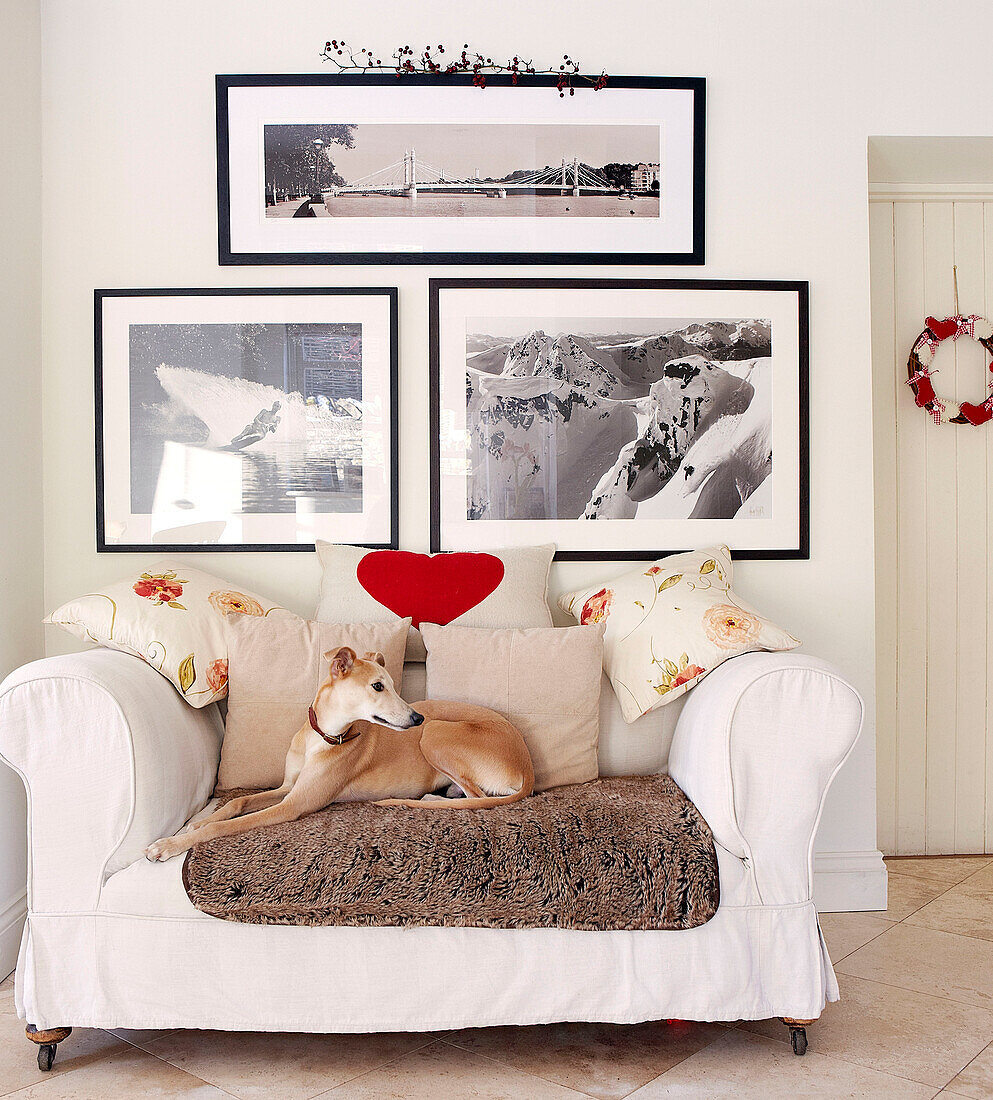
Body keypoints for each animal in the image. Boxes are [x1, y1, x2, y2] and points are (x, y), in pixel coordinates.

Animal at [144, 642, 532, 858]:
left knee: (477, 798)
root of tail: (527, 767)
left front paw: (168, 846)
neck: (324, 737)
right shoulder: (288, 788)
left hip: (435, 734)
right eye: (378, 686)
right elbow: (235, 805)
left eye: (393, 685)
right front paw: (196, 823)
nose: (416, 717)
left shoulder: (294, 804)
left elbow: (223, 828)